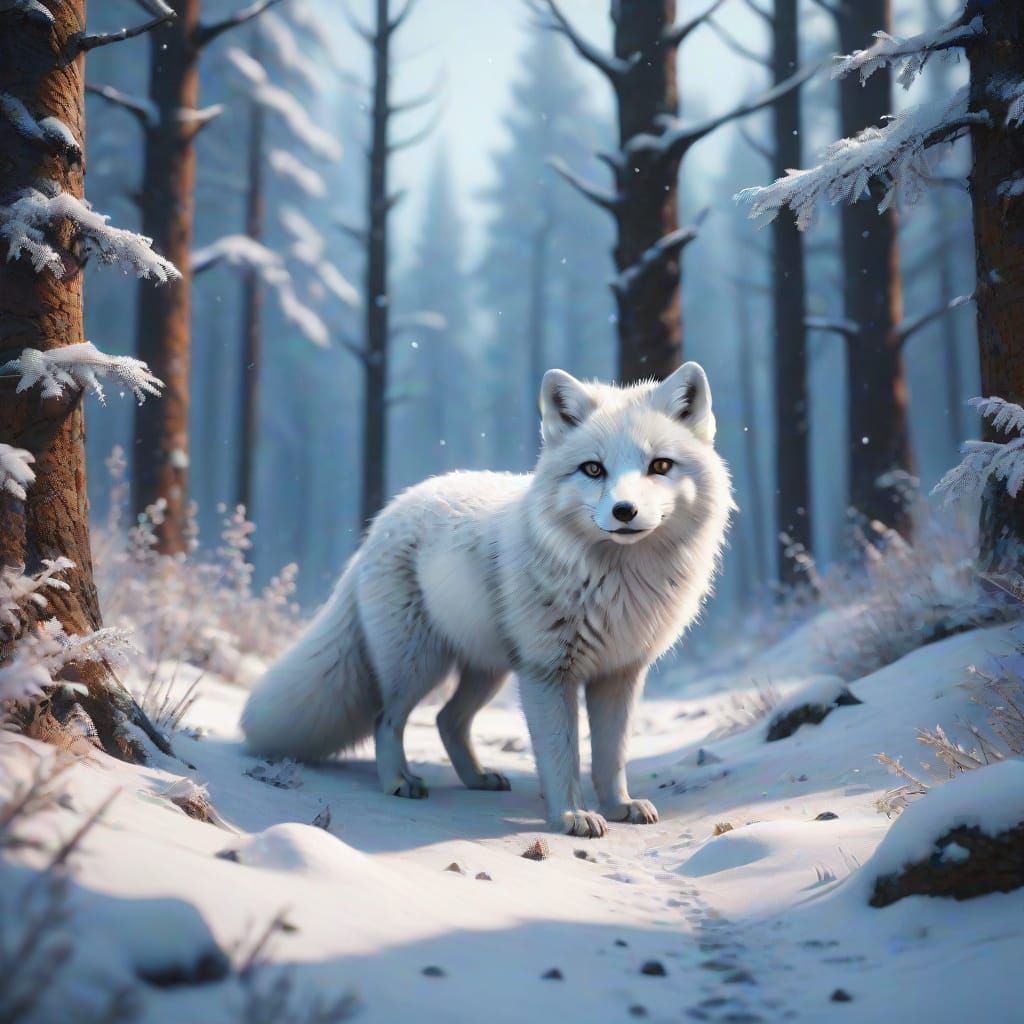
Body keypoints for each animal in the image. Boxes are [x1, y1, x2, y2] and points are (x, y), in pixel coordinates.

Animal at [242, 363, 733, 837]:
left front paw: (617, 807)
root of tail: (382, 519)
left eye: (660, 465)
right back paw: (399, 781)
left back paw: (477, 778)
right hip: (419, 666)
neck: (617, 582)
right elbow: (563, 756)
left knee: (447, 720)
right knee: (387, 719)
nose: (624, 511)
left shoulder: (619, 675)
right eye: (594, 469)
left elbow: (610, 757)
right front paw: (571, 816)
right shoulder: (547, 674)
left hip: (486, 671)